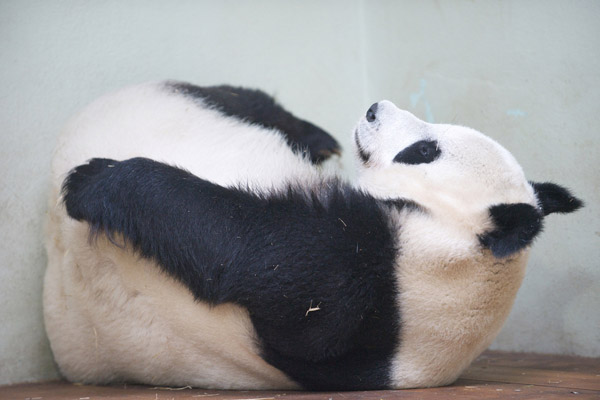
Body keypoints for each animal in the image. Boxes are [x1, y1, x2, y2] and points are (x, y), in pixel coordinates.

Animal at [45, 83, 580, 390]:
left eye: (423, 151)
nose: (374, 109)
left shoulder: (360, 273)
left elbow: (245, 247)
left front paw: (96, 180)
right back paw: (315, 135)